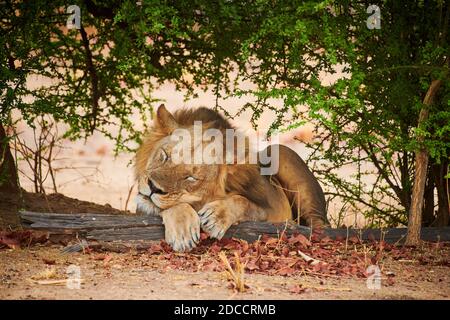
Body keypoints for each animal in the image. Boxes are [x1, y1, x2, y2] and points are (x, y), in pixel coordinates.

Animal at [135, 104, 328, 251]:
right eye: (165, 156)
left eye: (191, 178)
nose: (153, 187)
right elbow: (171, 206)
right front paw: (183, 231)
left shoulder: (273, 210)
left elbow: (244, 202)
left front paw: (215, 217)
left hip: (280, 151)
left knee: (319, 225)